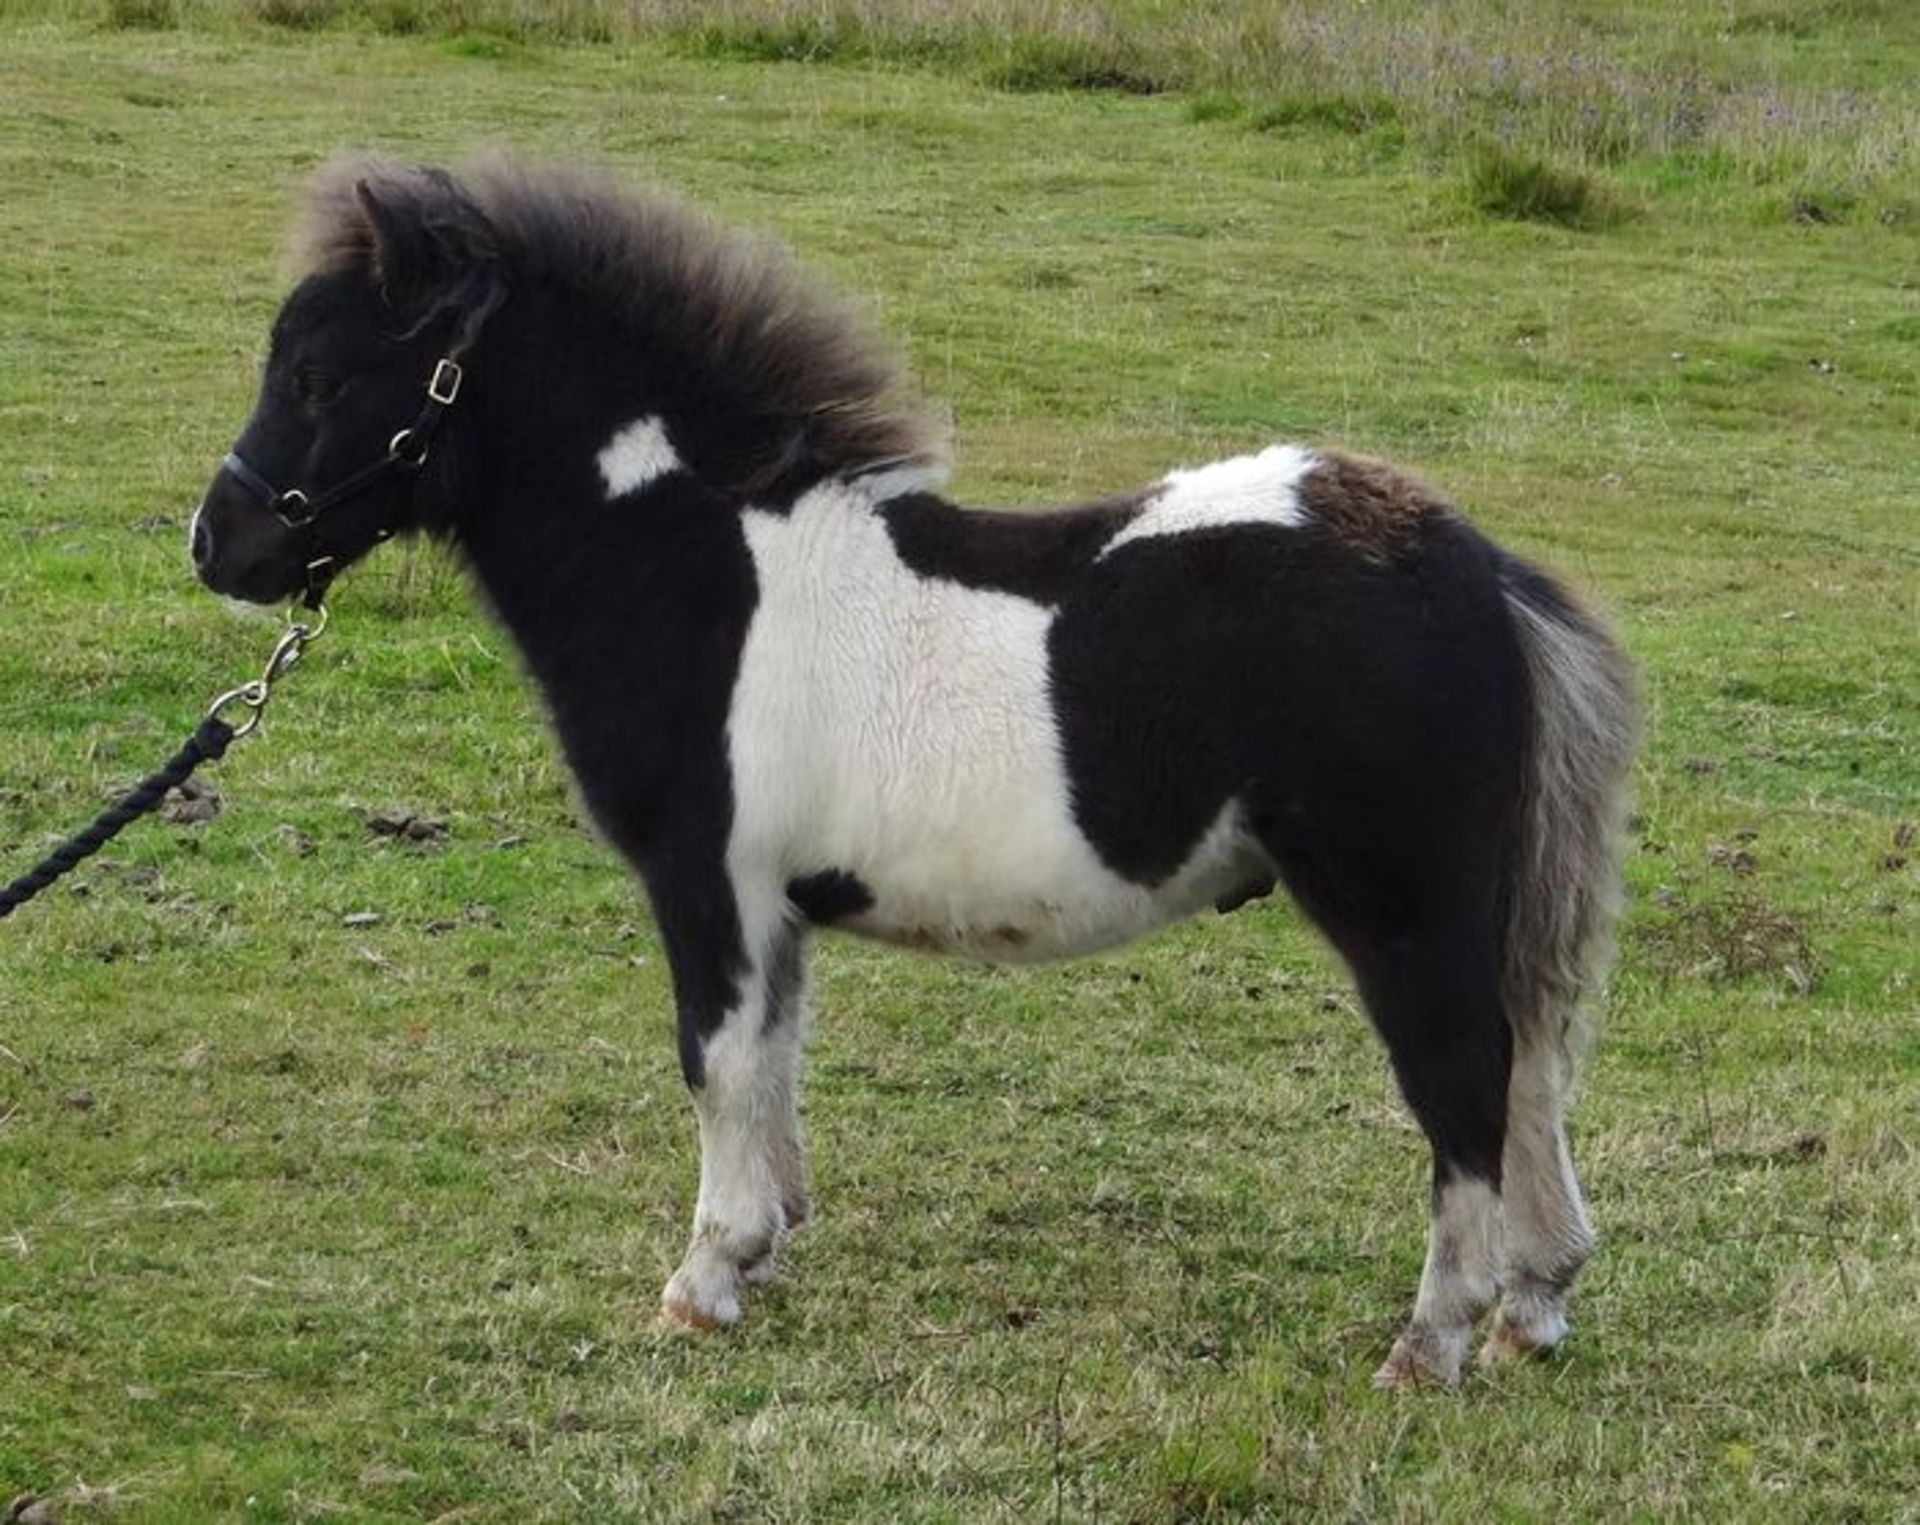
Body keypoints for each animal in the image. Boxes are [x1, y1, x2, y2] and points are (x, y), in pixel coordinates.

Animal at [191, 160, 1635, 1382]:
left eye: (319, 376)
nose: (221, 545)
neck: (698, 567)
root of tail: (1477, 569)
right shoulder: (774, 897)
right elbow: (773, 1057)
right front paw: (761, 1247)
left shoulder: (707, 877)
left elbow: (715, 1060)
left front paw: (700, 1282)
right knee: (1532, 1066)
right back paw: (1534, 1305)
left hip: (1400, 908)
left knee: (1466, 1085)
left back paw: (1431, 1343)